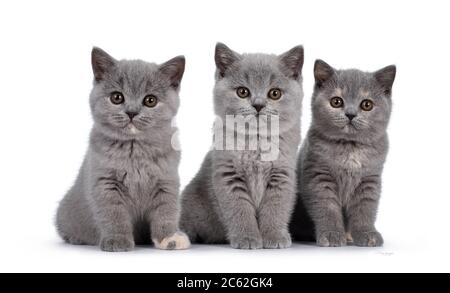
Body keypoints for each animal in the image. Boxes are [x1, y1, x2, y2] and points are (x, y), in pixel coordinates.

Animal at [56, 46, 190, 250]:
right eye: (117, 97)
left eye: (150, 100)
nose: (132, 112)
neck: (135, 150)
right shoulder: (105, 183)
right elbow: (113, 214)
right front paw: (117, 240)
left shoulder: (167, 181)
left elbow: (167, 210)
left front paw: (169, 237)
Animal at [181, 42, 304, 249]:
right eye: (243, 92)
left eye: (275, 93)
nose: (258, 105)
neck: (256, 142)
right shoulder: (228, 174)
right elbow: (239, 210)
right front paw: (247, 238)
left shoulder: (282, 174)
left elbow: (275, 208)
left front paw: (274, 237)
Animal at [290, 59, 396, 246]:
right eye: (336, 102)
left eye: (367, 104)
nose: (351, 114)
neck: (350, 147)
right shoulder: (319, 176)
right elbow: (327, 208)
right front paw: (332, 234)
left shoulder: (369, 179)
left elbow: (365, 209)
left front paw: (367, 233)